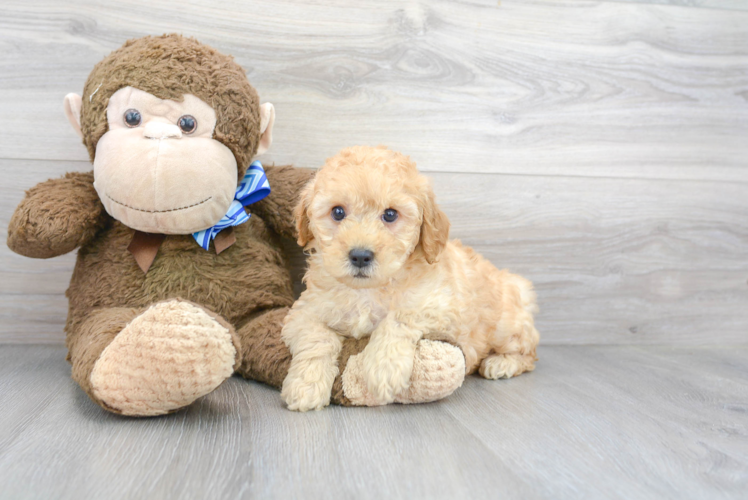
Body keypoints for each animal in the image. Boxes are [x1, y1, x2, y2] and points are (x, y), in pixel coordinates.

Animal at [280, 145, 536, 410]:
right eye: (338, 212)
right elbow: (317, 338)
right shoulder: (304, 311)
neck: (368, 290)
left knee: (529, 353)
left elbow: (401, 315)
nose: (360, 256)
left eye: (391, 215)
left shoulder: (441, 304)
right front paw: (306, 386)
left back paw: (501, 363)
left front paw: (383, 368)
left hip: (506, 326)